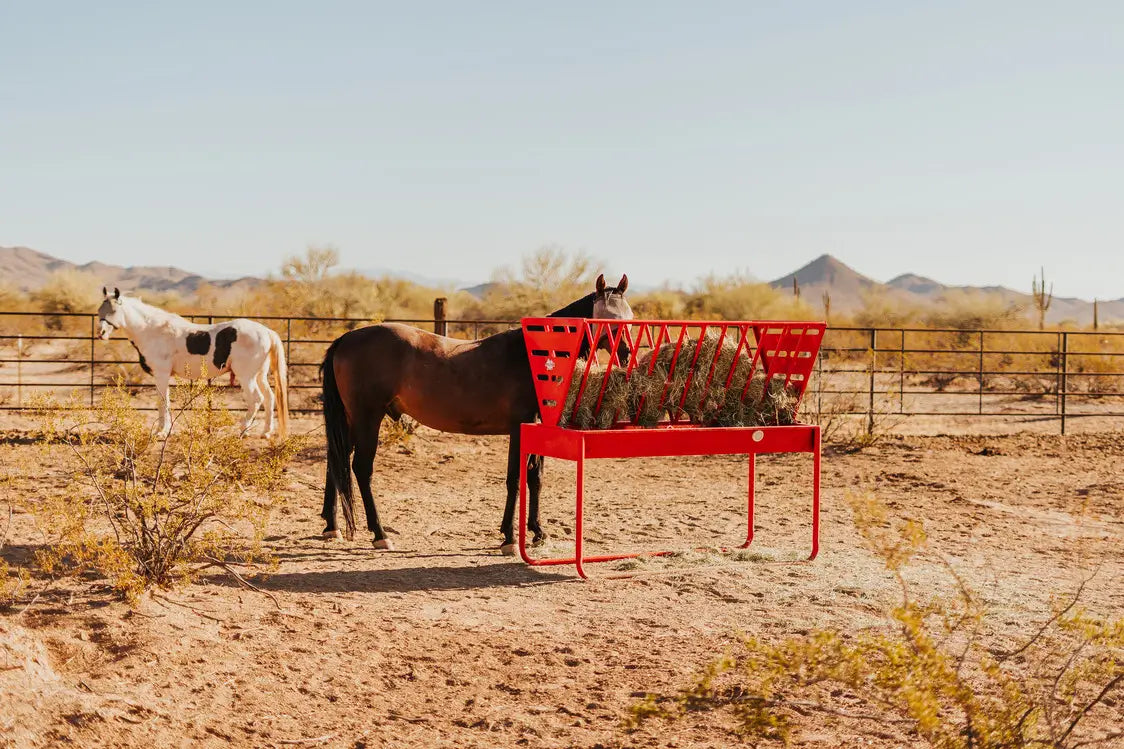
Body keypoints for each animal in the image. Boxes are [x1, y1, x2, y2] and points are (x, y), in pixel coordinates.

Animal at [95, 285, 289, 438]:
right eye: (99, 311)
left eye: (113, 311)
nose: (101, 333)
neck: (152, 330)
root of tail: (266, 331)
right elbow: (164, 401)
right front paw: (163, 430)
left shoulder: (161, 374)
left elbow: (162, 402)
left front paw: (161, 432)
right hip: (260, 375)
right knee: (270, 398)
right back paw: (265, 432)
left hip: (247, 376)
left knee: (256, 399)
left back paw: (242, 430)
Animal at [321, 273, 633, 548]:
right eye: (607, 319)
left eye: (629, 317)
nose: (627, 353)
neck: (535, 357)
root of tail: (346, 339)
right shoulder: (519, 427)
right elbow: (515, 478)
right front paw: (510, 538)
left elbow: (536, 477)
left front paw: (538, 532)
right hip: (367, 418)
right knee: (361, 469)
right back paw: (380, 534)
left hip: (351, 419)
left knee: (336, 462)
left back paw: (332, 527)